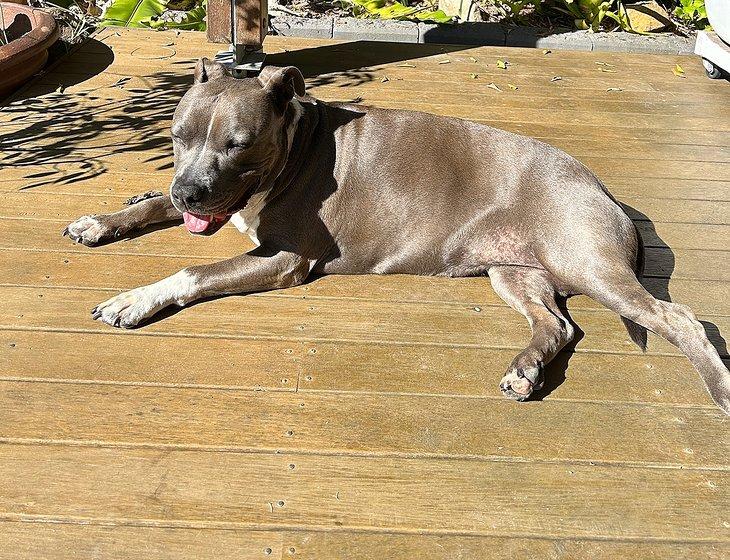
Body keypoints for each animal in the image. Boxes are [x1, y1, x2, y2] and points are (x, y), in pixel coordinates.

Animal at [64, 59, 728, 414]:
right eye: (177, 136)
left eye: (237, 144)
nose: (189, 193)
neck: (295, 147)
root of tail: (601, 188)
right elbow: (149, 206)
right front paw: (106, 219)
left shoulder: (284, 259)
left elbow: (195, 272)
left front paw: (135, 298)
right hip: (514, 273)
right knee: (559, 325)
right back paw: (526, 369)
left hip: (590, 265)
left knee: (680, 320)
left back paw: (718, 387)